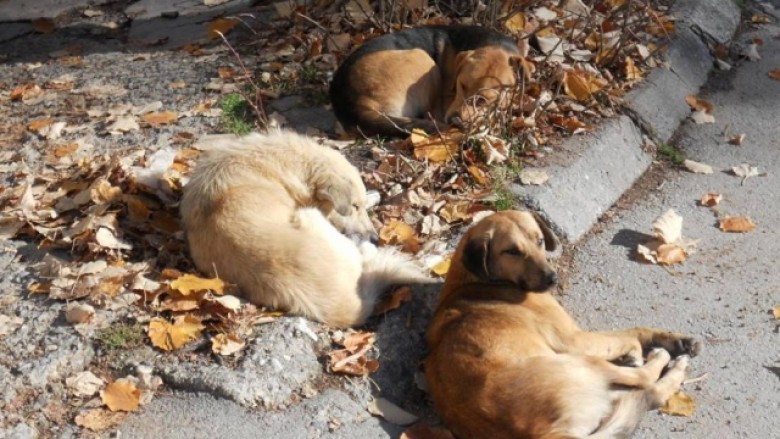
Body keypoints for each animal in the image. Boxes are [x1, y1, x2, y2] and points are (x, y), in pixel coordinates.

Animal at [426, 211, 700, 438]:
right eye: (512, 251)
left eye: (539, 241)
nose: (552, 278)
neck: (474, 281)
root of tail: (548, 433)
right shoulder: (574, 339)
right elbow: (630, 335)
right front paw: (637, 351)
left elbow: (636, 330)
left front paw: (676, 339)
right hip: (582, 364)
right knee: (644, 380)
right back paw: (666, 360)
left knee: (650, 395)